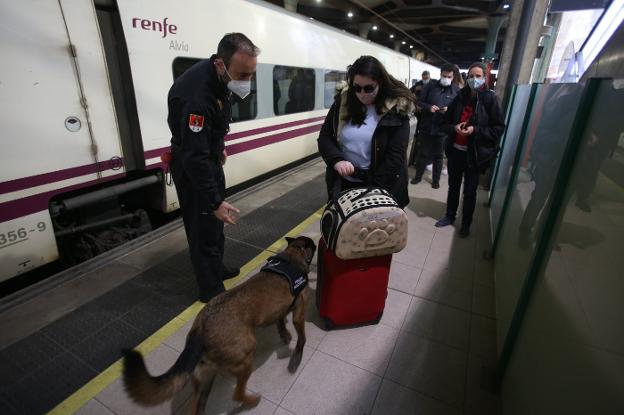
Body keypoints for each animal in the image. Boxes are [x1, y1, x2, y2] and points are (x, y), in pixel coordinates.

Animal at [122, 236, 316, 414]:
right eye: (313, 246)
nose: (316, 243)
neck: (292, 254)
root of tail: (199, 331)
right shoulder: (299, 312)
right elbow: (301, 337)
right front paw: (296, 357)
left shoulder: (281, 310)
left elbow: (280, 322)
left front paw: (285, 335)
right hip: (245, 358)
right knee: (237, 395)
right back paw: (251, 401)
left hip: (204, 377)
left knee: (197, 406)